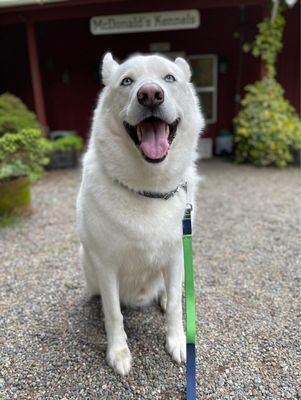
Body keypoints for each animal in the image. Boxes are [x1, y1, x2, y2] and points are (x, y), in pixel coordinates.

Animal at [76, 52, 205, 376]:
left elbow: (176, 308)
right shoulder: (106, 264)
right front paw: (118, 352)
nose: (150, 94)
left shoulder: (176, 254)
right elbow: (113, 314)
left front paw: (177, 341)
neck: (149, 189)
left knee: (169, 293)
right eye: (127, 81)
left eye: (169, 78)